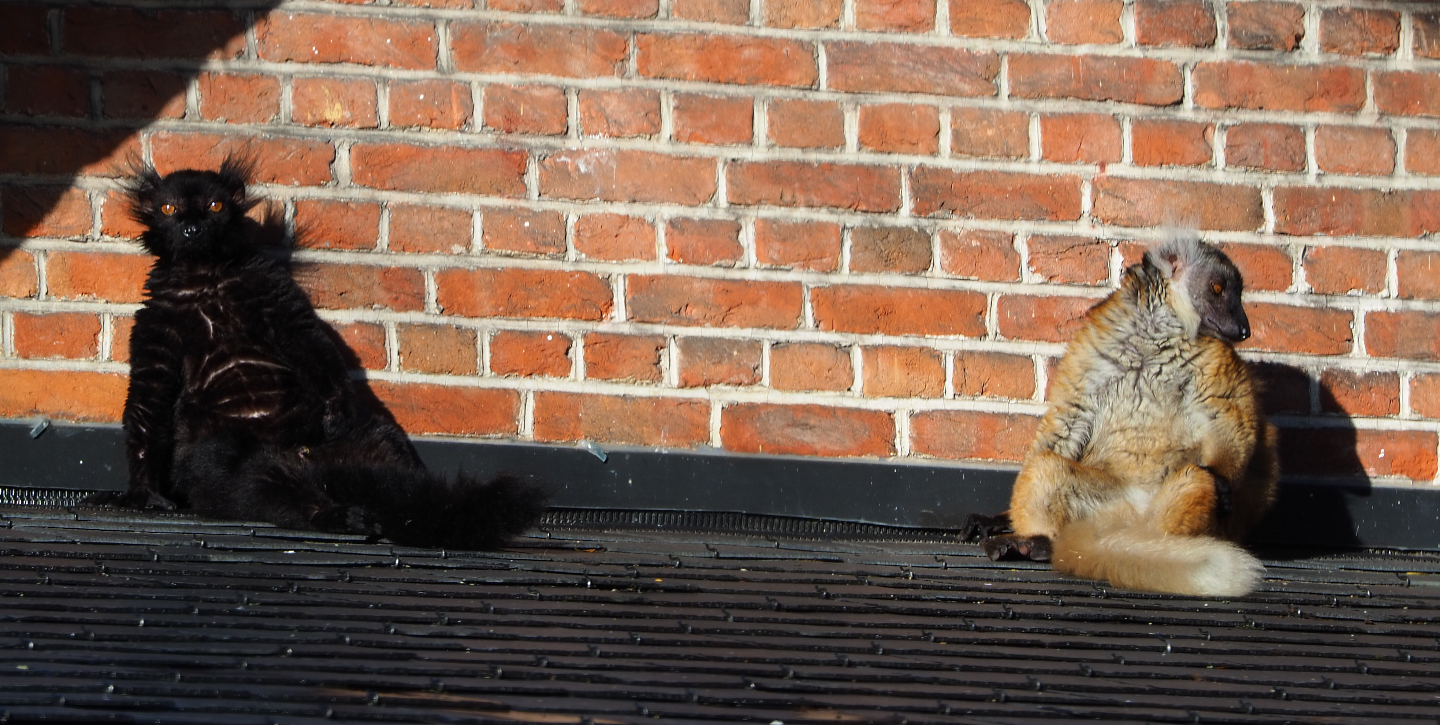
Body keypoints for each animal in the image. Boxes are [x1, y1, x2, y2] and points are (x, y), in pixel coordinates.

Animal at [85, 157, 548, 550]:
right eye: (168, 208)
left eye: (215, 205)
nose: (192, 230)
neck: (205, 277)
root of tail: (308, 462)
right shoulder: (156, 325)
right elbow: (147, 403)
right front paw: (142, 494)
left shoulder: (271, 291)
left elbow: (310, 342)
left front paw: (336, 408)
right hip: (226, 455)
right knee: (245, 479)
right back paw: (340, 516)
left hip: (366, 441)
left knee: (380, 453)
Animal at [963, 236, 1278, 597]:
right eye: (1217, 289)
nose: (1243, 329)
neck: (1156, 334)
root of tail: (1127, 523)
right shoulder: (1094, 347)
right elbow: (1066, 423)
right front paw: (999, 519)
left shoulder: (1213, 356)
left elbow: (1230, 418)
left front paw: (1224, 482)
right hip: (1101, 506)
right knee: (1046, 466)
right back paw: (1036, 542)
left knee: (1201, 476)